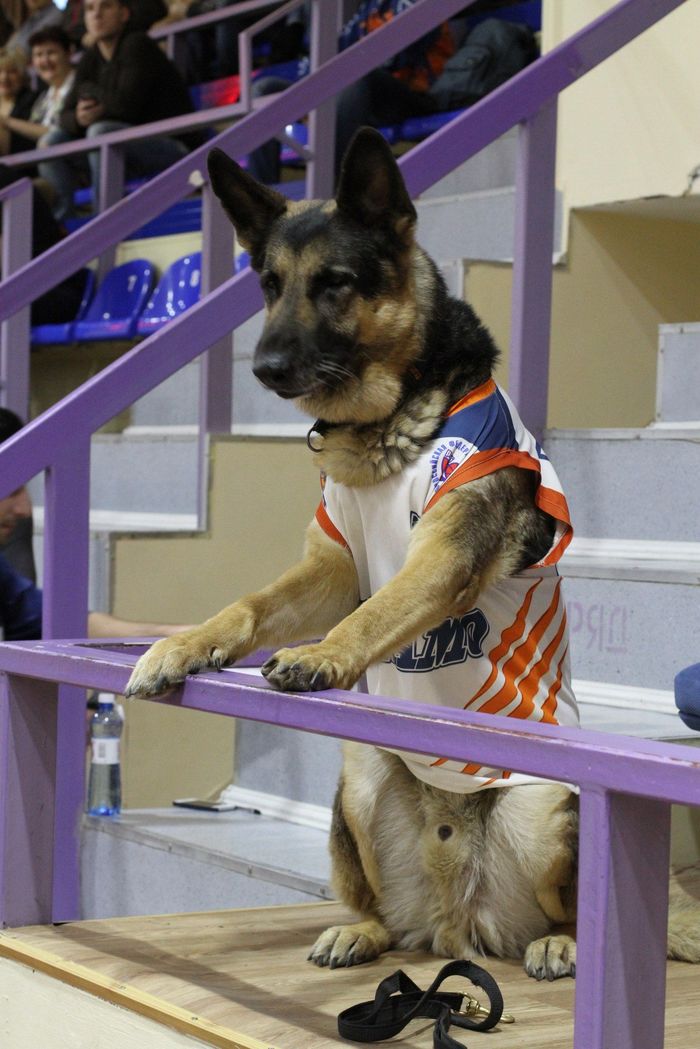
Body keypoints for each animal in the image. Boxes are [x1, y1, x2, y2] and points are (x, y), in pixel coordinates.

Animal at [124, 126, 700, 977]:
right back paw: (360, 930)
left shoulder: (443, 555)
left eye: (334, 283)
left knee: (575, 908)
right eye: (269, 284)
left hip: (544, 809)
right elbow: (252, 603)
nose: (264, 367)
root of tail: (459, 918)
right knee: (390, 918)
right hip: (360, 779)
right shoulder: (327, 571)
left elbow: (381, 608)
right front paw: (181, 645)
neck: (388, 420)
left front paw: (321, 655)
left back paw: (560, 941)